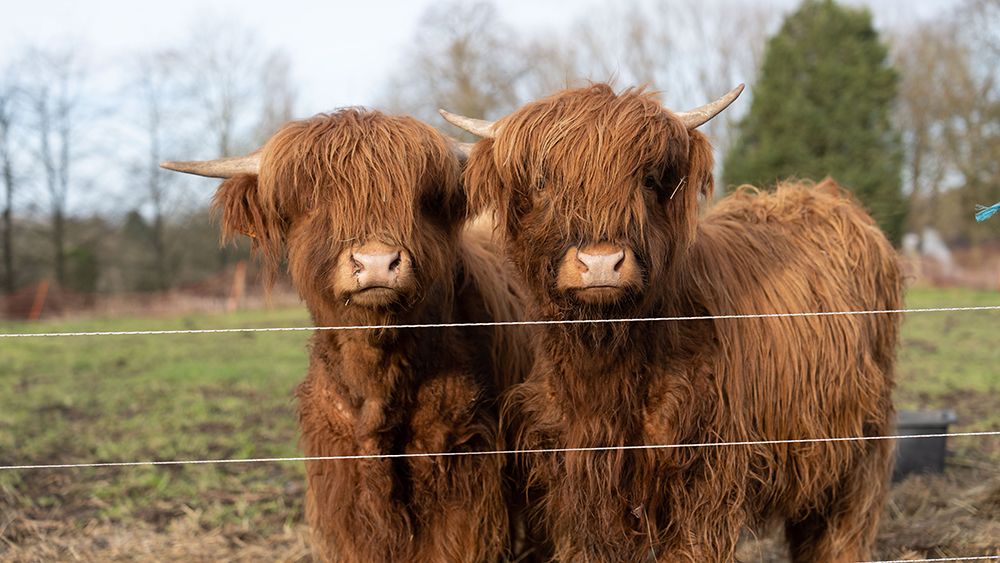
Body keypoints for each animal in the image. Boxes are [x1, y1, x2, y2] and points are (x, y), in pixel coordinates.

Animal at [442, 83, 904, 563]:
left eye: (646, 181)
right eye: (542, 183)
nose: (601, 263)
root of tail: (824, 196)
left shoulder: (704, 482)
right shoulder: (573, 481)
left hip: (861, 449)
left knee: (841, 528)